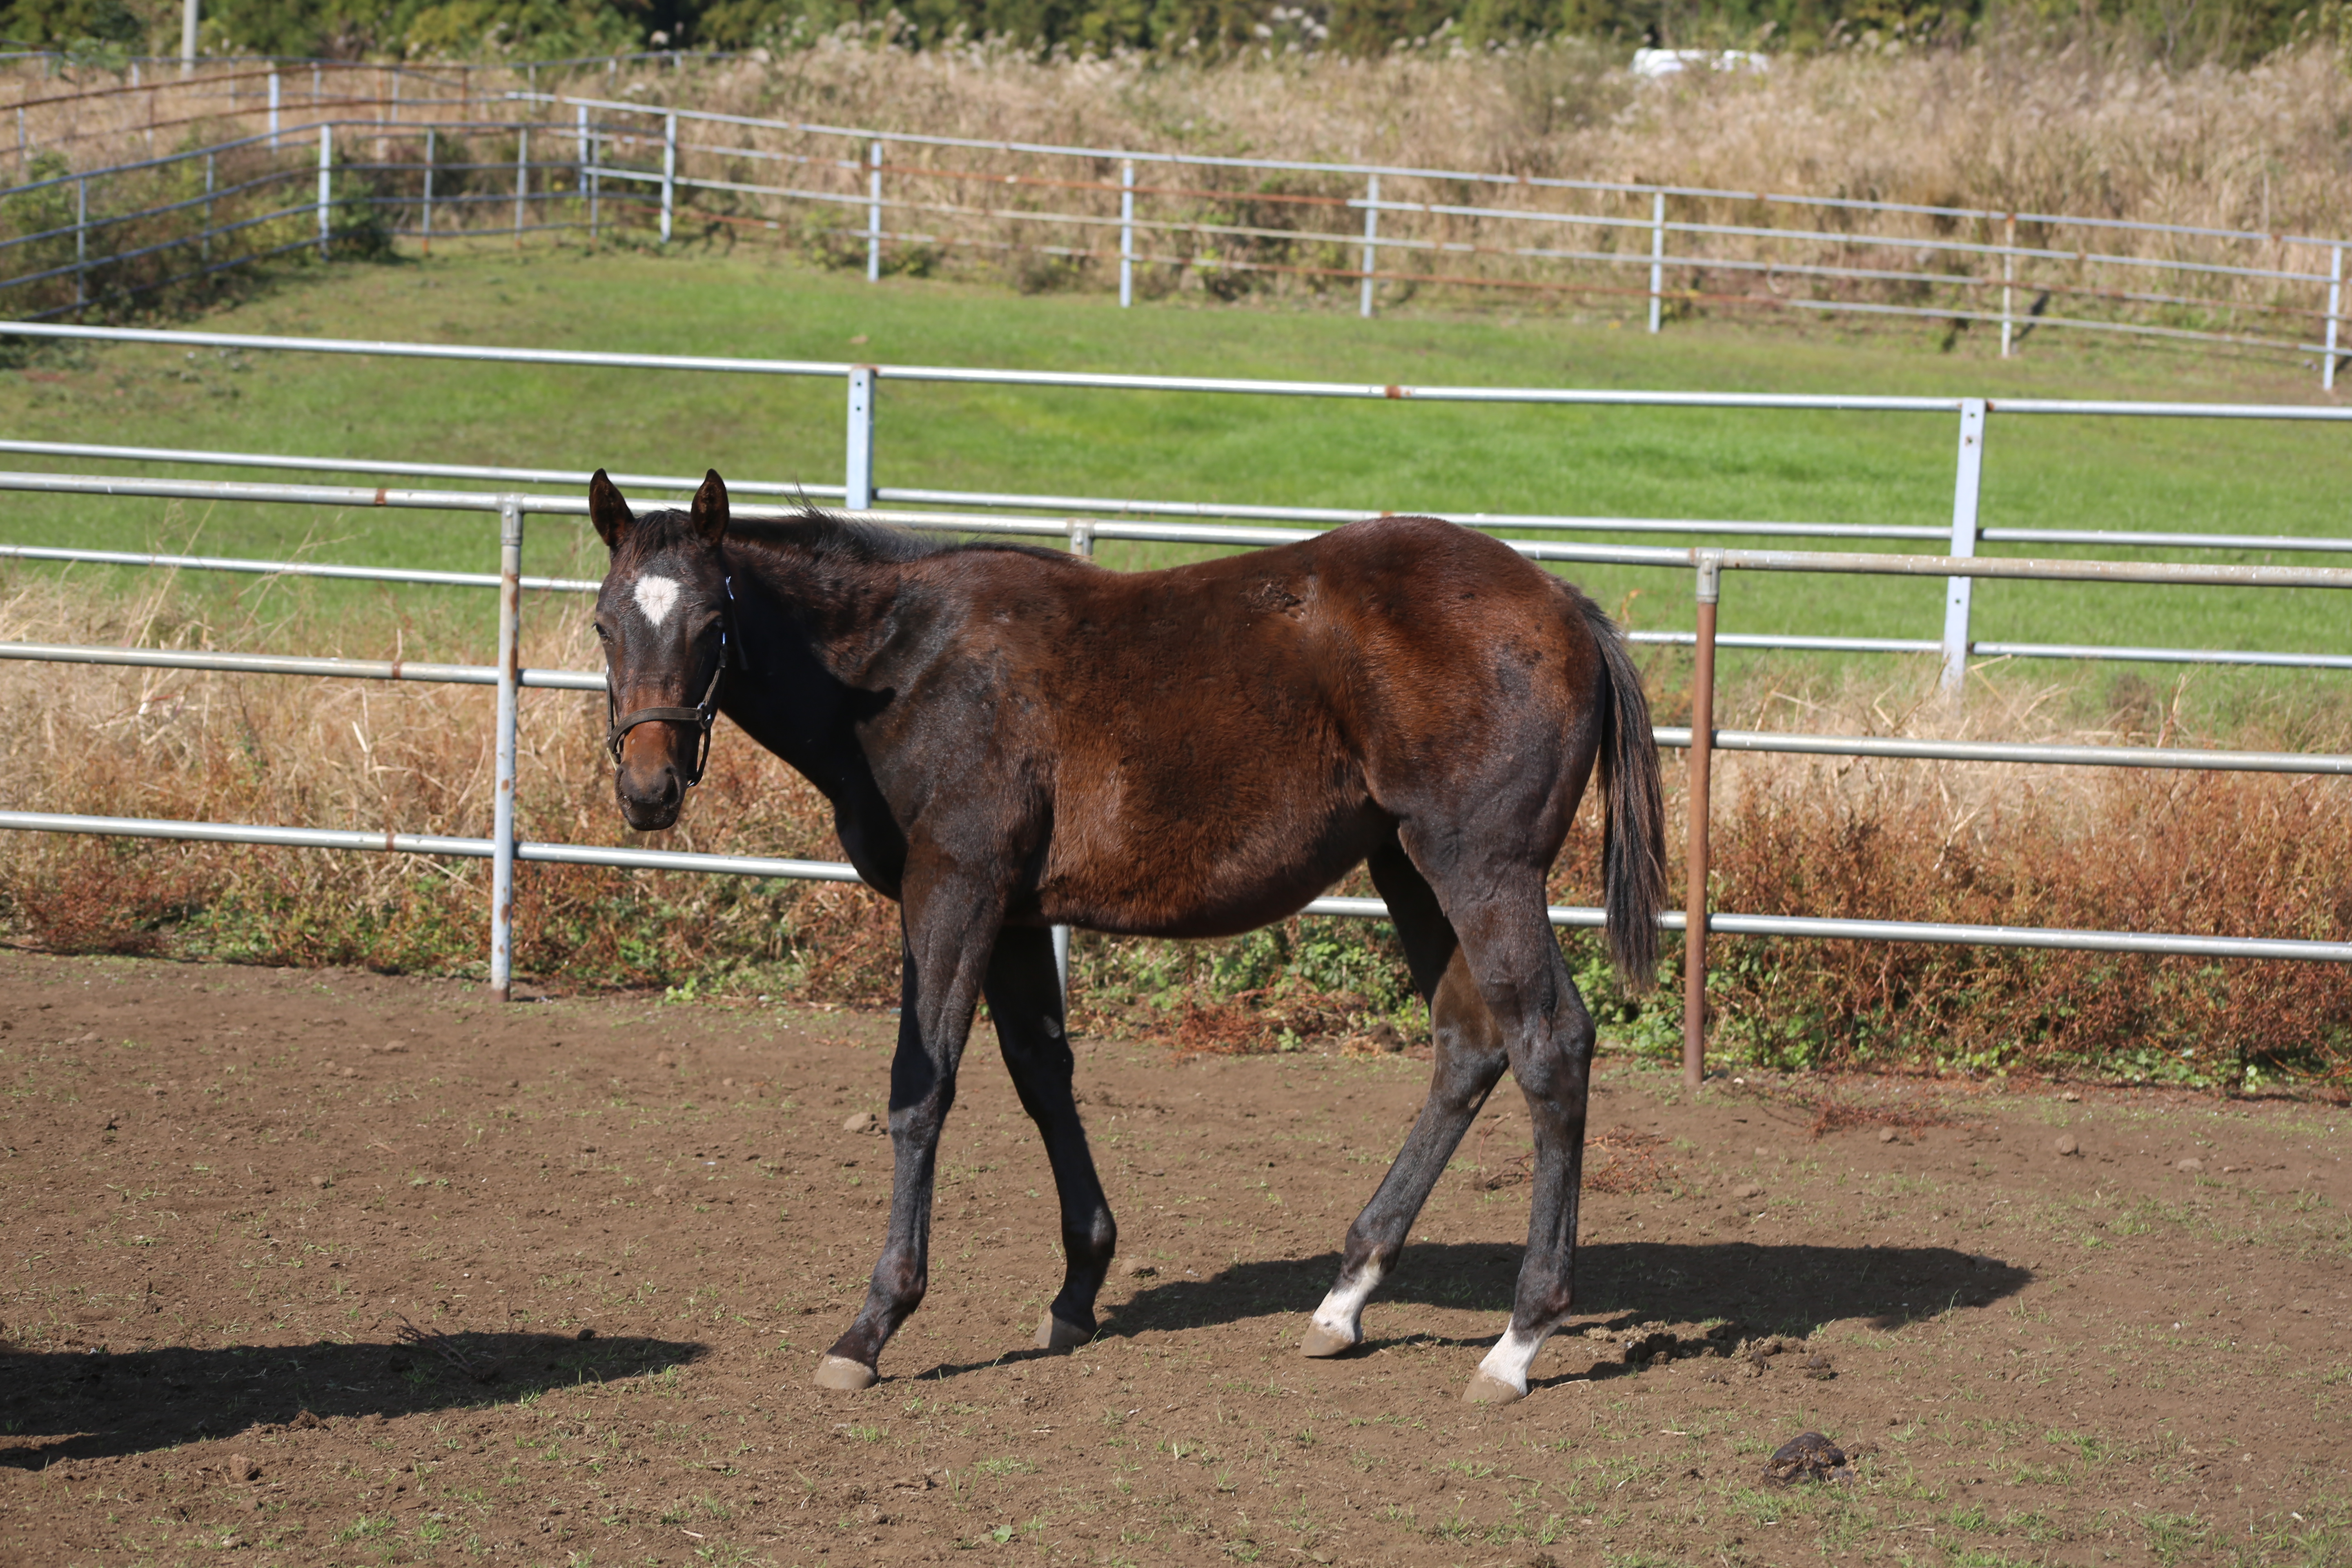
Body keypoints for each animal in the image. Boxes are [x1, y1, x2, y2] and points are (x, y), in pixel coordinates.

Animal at [597, 472, 1684, 1401]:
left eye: (710, 623)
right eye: (607, 622)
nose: (647, 789)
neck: (904, 666)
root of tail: (1562, 604)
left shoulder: (951, 890)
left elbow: (922, 1088)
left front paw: (872, 1325)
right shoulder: (1015, 915)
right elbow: (1042, 1075)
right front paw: (1078, 1288)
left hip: (1482, 869)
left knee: (1548, 1044)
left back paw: (1518, 1339)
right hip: (1409, 869)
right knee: (1468, 1044)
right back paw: (1344, 1300)